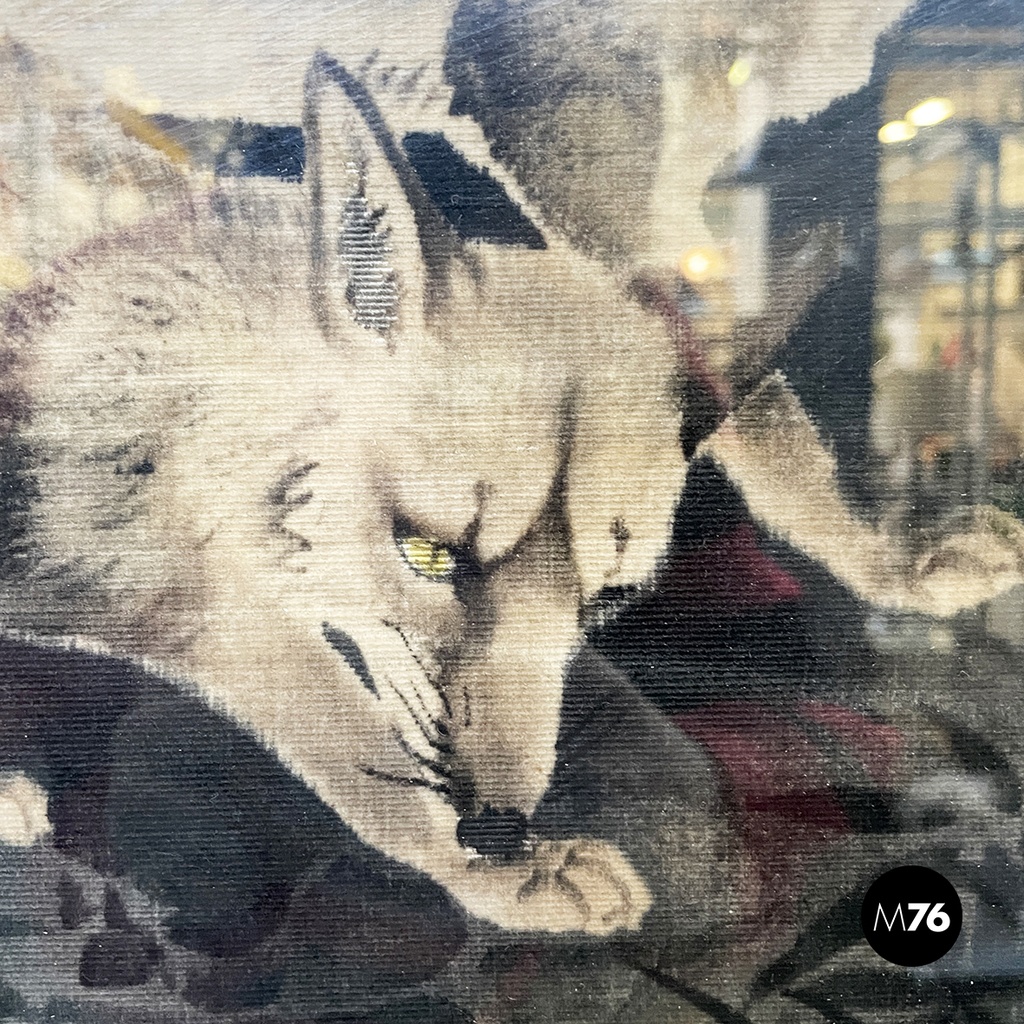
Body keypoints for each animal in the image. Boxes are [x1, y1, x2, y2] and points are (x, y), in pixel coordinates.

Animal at [1, 51, 1023, 939]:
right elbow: (359, 758)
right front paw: (500, 878)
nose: (496, 829)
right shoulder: (201, 611)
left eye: (606, 602)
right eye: (426, 554)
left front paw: (899, 562)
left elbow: (778, 449)